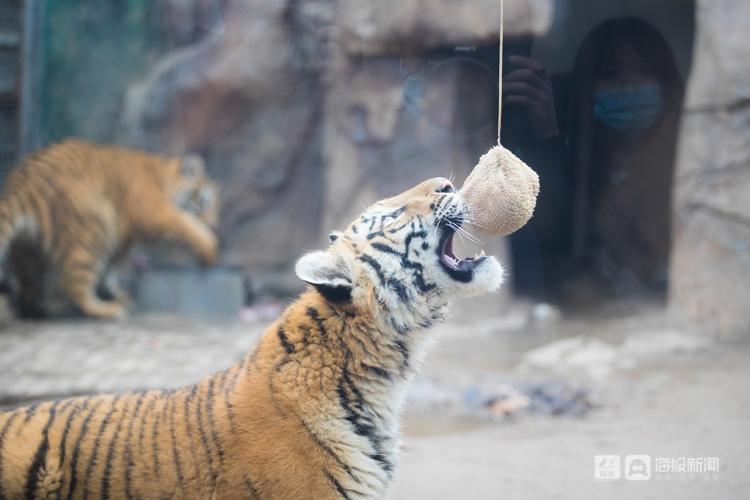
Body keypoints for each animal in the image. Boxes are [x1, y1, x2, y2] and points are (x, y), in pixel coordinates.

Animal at [0, 139, 219, 318]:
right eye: (205, 203)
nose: (215, 223)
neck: (165, 176)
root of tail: (24, 182)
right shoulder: (154, 213)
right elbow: (186, 224)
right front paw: (209, 250)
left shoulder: (123, 237)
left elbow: (112, 266)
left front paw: (117, 293)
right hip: (97, 225)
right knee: (71, 283)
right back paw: (107, 310)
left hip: (28, 249)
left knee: (31, 284)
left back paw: (46, 307)